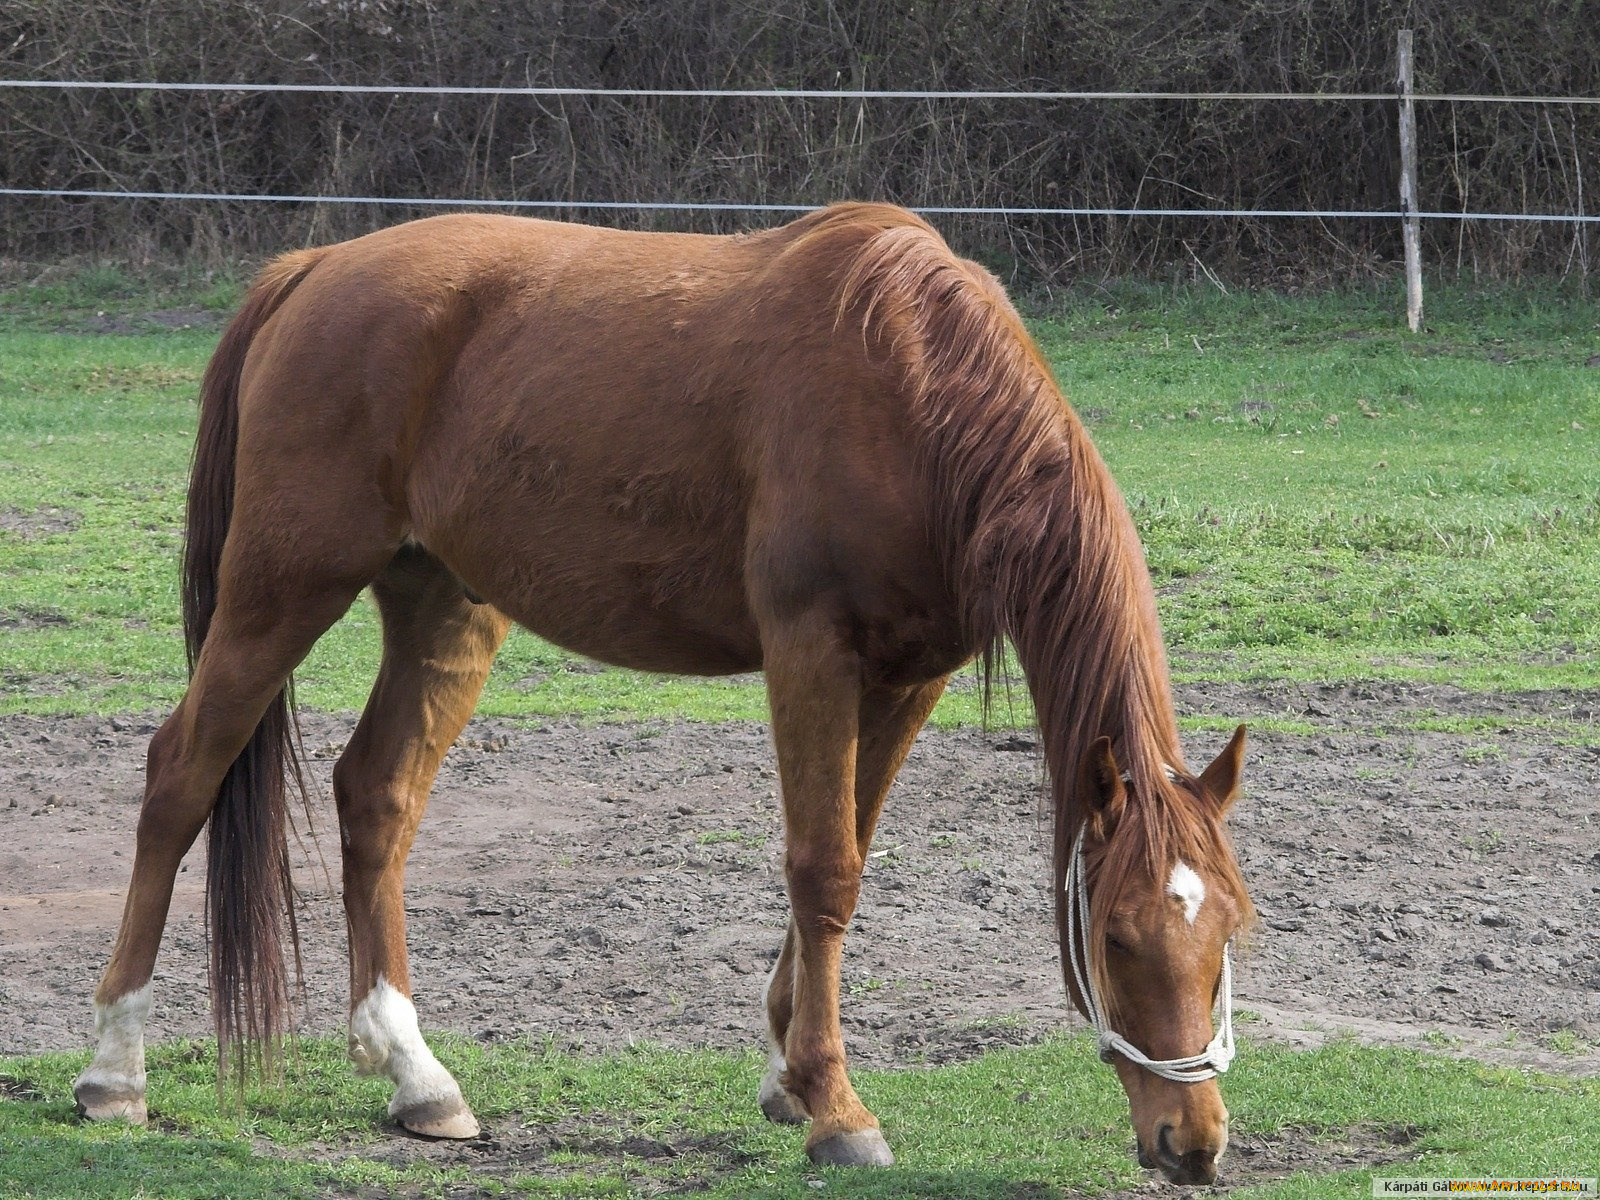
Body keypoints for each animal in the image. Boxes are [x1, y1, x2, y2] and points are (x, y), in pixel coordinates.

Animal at [72, 202, 1248, 1190]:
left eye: (1228, 927)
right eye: (1116, 938)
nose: (1192, 1143)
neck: (912, 396)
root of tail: (310, 271)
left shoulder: (909, 677)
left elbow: (849, 855)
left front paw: (789, 1078)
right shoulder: (811, 654)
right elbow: (823, 870)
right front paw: (838, 1111)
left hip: (441, 605)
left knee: (376, 797)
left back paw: (418, 1077)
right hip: (283, 589)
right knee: (181, 776)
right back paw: (115, 1070)